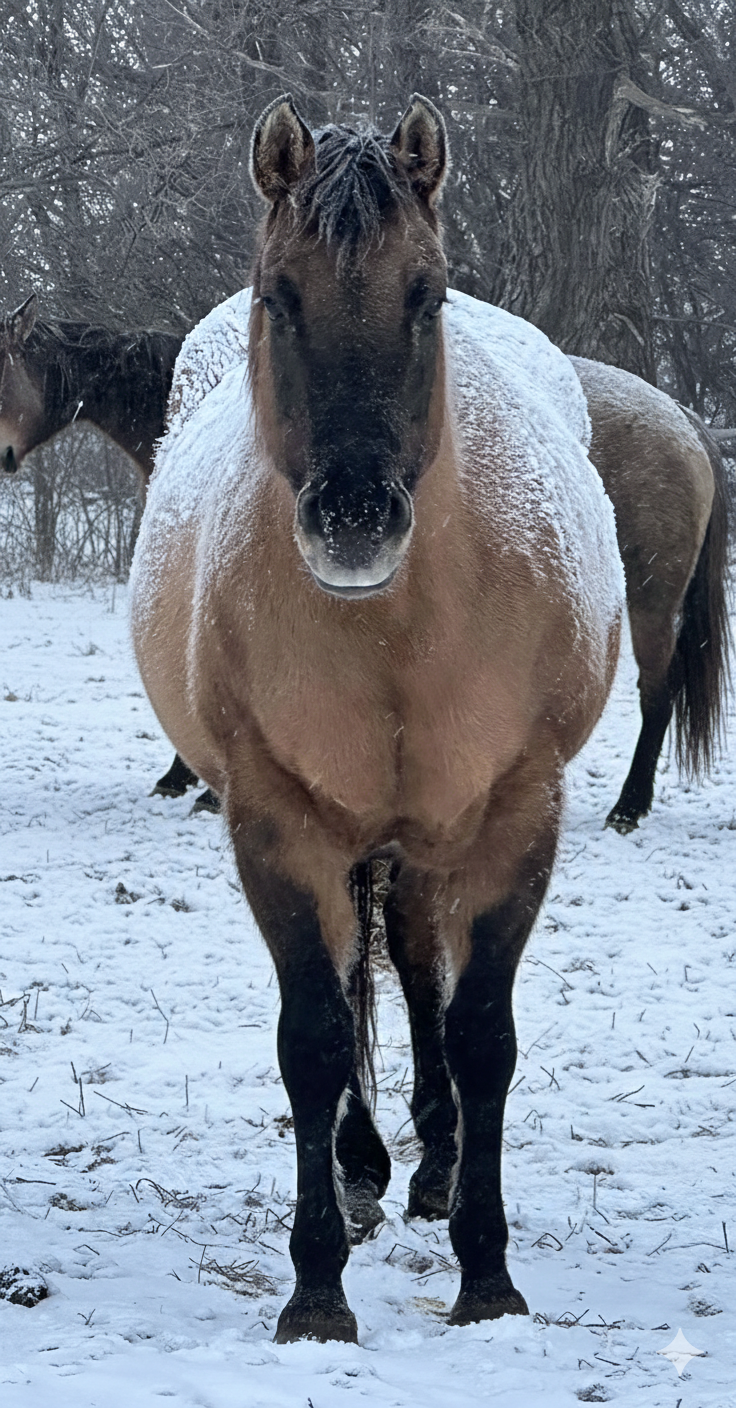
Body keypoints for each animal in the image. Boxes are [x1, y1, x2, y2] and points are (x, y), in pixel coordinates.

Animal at [131, 93, 624, 1342]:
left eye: (424, 293)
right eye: (279, 294)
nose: (354, 517)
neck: (398, 633)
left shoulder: (515, 815)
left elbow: (480, 1033)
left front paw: (487, 1276)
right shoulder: (278, 823)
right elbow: (313, 1038)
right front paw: (315, 1290)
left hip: (428, 837)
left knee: (413, 970)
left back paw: (436, 1164)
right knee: (364, 974)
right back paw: (361, 1173)